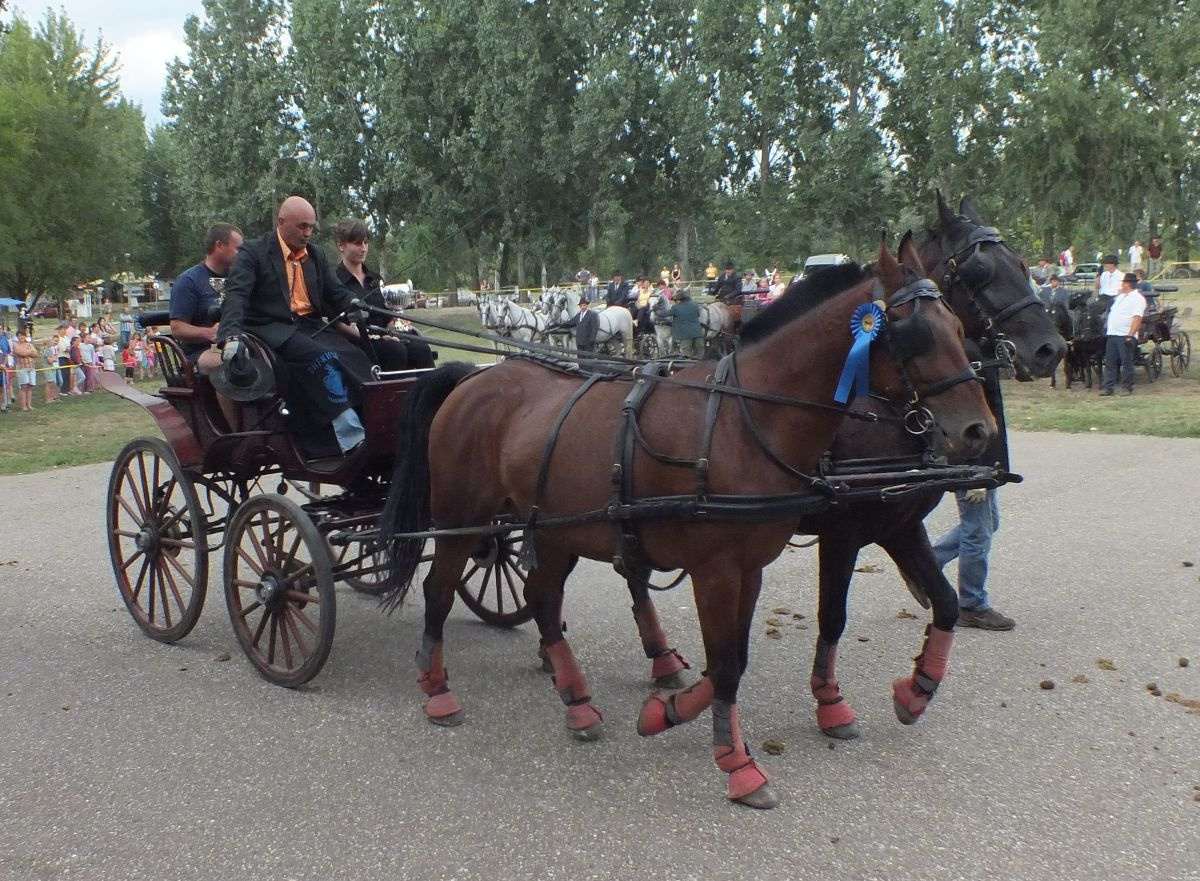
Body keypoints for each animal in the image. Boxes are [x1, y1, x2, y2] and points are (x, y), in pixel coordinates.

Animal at [381, 237, 993, 811]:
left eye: (959, 326)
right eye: (916, 335)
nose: (979, 431)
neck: (744, 420)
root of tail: (471, 379)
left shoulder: (756, 565)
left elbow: (735, 659)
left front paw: (669, 711)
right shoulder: (725, 566)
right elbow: (729, 662)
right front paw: (739, 764)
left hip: (555, 528)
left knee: (544, 598)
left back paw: (577, 701)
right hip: (462, 520)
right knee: (441, 591)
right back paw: (437, 689)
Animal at [614, 194, 1065, 744]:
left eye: (1022, 263)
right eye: (980, 269)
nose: (1050, 348)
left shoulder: (898, 524)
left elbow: (945, 602)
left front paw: (917, 689)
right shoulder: (842, 531)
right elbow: (832, 617)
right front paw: (830, 702)